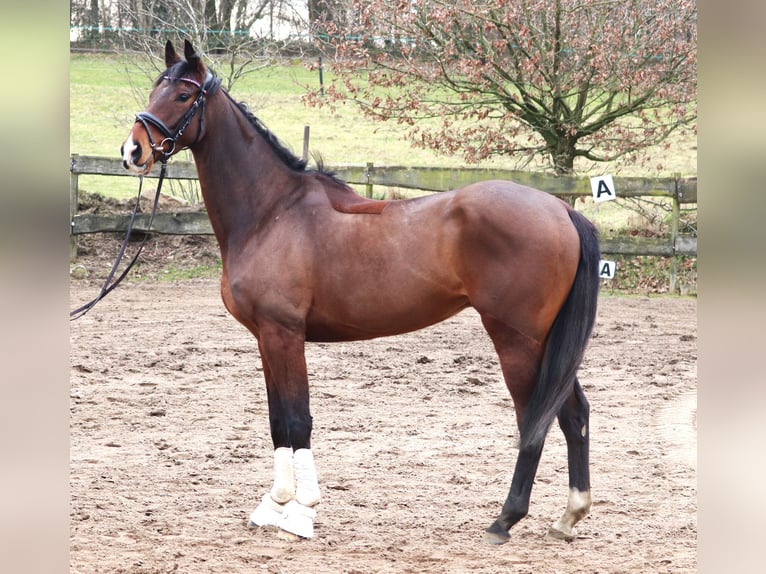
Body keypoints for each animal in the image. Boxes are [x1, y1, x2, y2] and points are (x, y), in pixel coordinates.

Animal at [121, 39, 600, 544]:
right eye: (155, 89)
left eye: (181, 95)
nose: (133, 150)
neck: (272, 211)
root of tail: (563, 210)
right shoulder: (266, 338)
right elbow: (277, 421)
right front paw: (274, 504)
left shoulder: (284, 334)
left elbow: (298, 420)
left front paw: (301, 513)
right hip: (546, 343)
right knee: (573, 413)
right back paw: (569, 516)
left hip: (518, 341)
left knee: (534, 417)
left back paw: (505, 518)